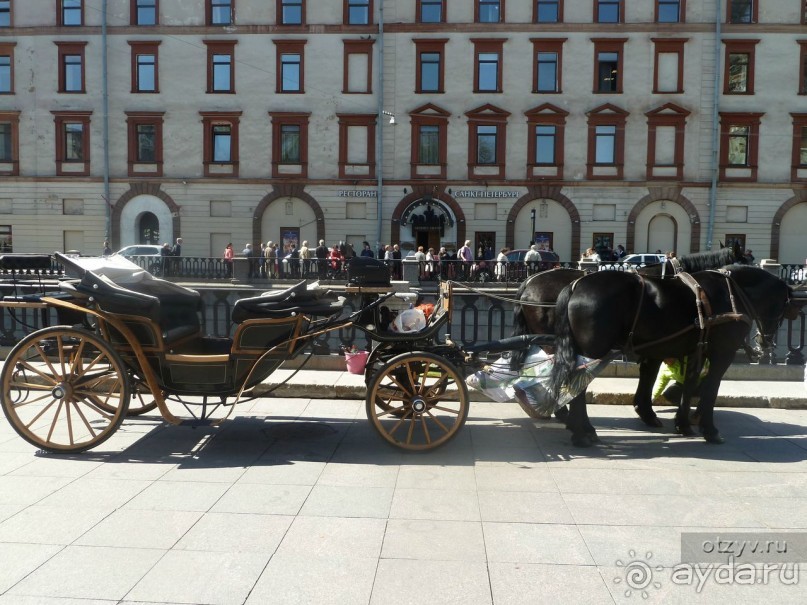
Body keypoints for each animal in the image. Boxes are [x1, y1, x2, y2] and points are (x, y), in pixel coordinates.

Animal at [548, 266, 800, 446]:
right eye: (782, 308)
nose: (765, 342)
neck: (731, 294)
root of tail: (576, 285)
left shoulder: (696, 351)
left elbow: (689, 384)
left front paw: (683, 423)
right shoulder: (722, 354)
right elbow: (710, 390)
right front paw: (709, 430)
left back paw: (581, 429)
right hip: (592, 353)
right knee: (579, 389)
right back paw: (582, 434)